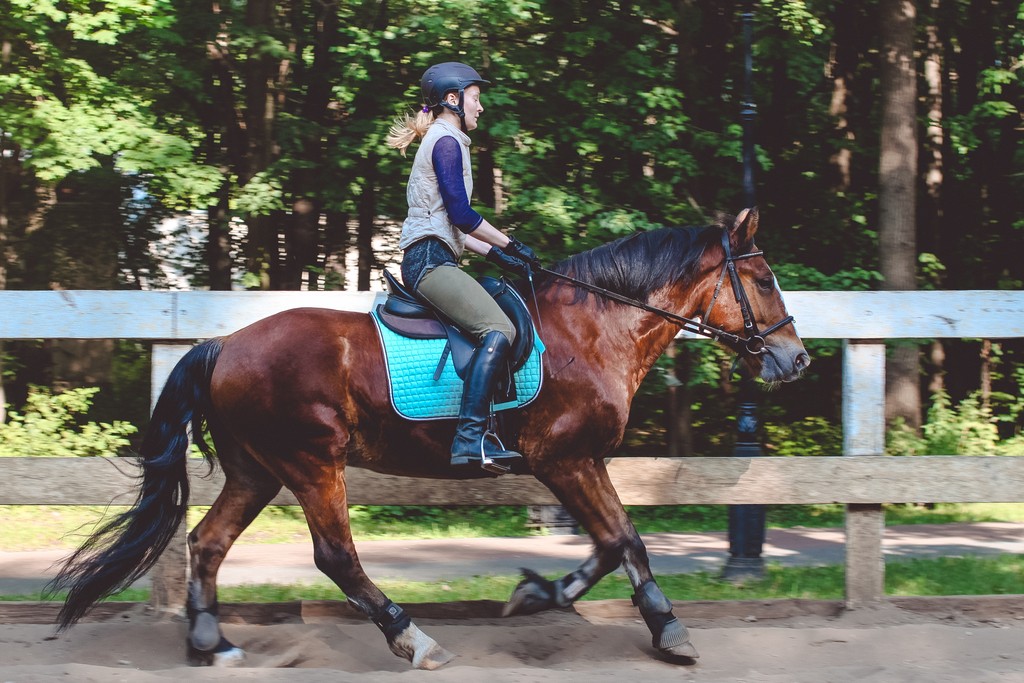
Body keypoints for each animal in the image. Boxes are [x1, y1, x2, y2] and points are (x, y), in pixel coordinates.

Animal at [51, 206, 806, 667]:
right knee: (336, 555)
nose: (795, 360)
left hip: (257, 469)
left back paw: (212, 641)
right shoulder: (564, 458)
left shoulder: (578, 462)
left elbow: (607, 542)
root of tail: (223, 344)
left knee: (208, 542)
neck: (593, 330)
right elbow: (625, 539)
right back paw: (412, 637)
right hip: (311, 461)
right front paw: (668, 629)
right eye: (766, 279)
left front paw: (542, 593)